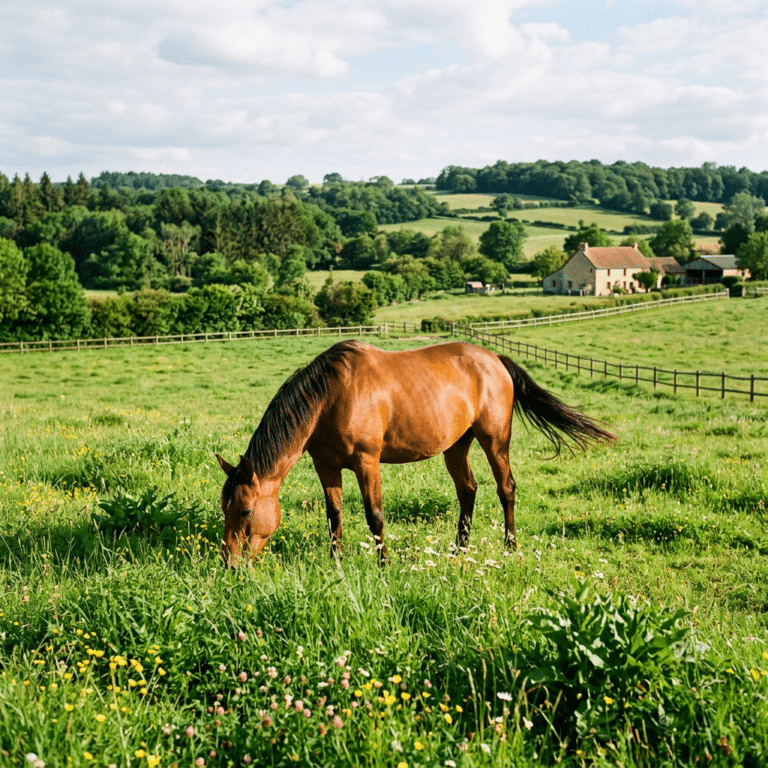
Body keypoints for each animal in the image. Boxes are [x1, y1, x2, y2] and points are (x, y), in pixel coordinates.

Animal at [216, 340, 616, 567]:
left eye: (246, 509)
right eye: (225, 508)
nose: (230, 564)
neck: (331, 396)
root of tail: (496, 360)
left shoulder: (367, 462)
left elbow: (374, 516)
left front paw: (384, 566)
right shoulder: (325, 465)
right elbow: (334, 517)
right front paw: (337, 564)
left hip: (495, 440)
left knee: (506, 489)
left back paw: (509, 549)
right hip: (456, 446)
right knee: (468, 490)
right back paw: (459, 551)